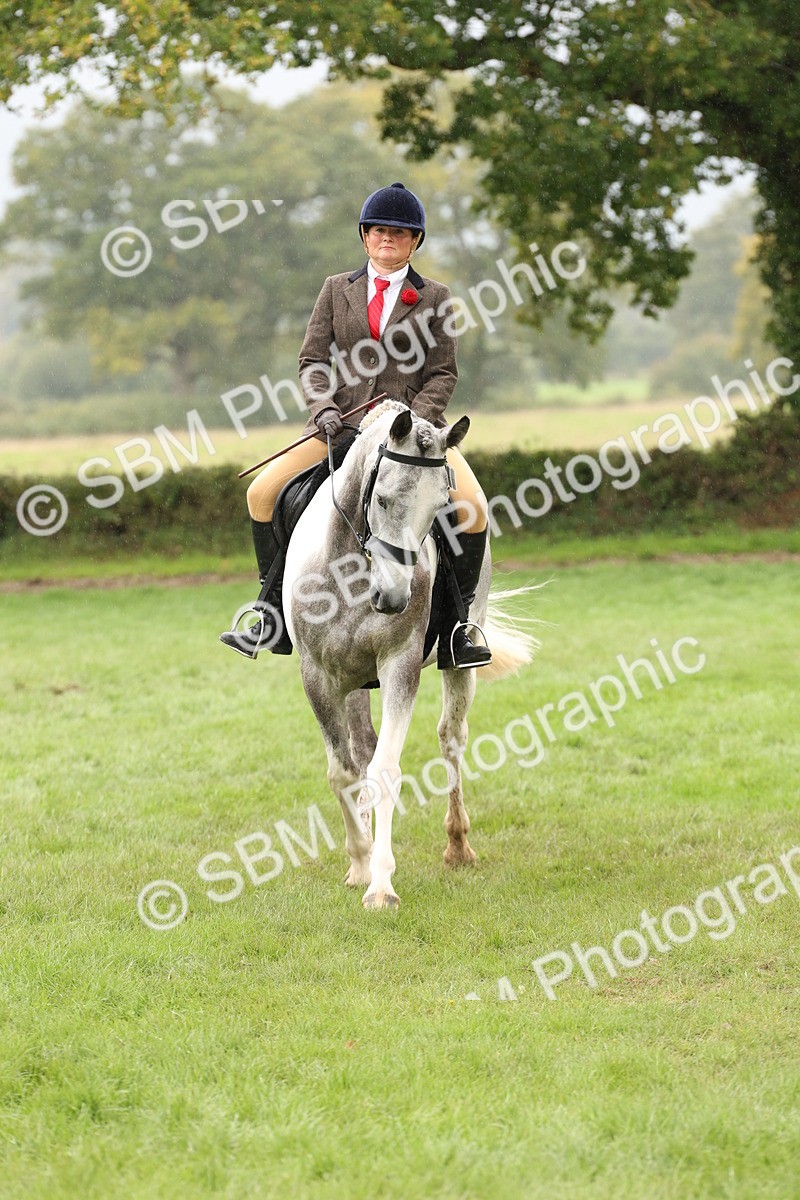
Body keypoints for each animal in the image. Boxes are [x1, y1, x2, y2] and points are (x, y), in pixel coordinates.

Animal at [283, 399, 535, 910]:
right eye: (381, 499)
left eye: (440, 508)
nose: (395, 597)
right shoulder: (317, 674)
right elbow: (342, 771)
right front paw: (359, 861)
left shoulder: (399, 665)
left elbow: (385, 770)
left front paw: (380, 884)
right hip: (352, 679)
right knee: (362, 746)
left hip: (457, 662)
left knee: (451, 738)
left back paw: (458, 847)